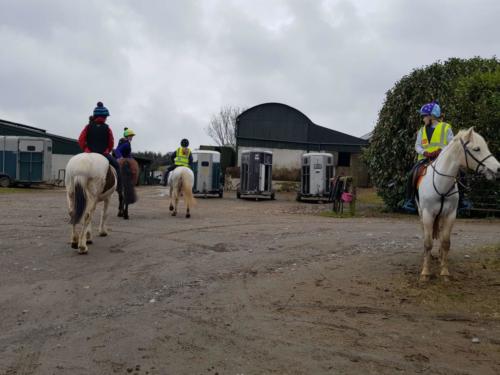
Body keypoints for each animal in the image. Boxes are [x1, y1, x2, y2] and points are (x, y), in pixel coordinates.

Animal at [416, 129, 498, 282]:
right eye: (477, 149)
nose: (497, 169)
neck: (441, 184)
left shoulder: (450, 214)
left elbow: (446, 242)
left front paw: (444, 272)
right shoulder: (428, 214)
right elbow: (428, 243)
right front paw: (425, 273)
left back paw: (440, 256)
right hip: (421, 213)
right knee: (425, 233)